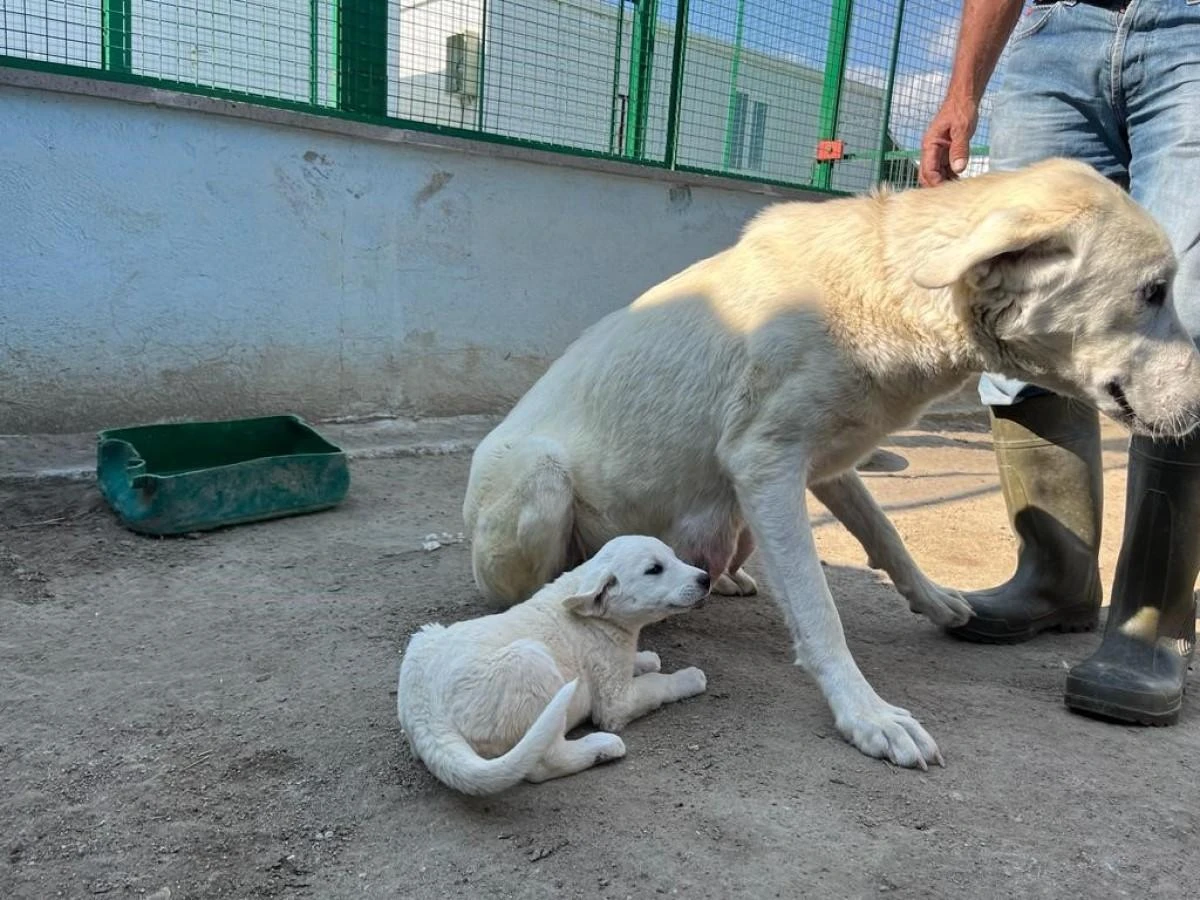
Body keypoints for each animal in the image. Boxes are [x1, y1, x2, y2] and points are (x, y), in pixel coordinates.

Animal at [398, 535, 705, 796]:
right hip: (531, 661)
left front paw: (646, 659)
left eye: (674, 556)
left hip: (424, 636)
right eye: (654, 569)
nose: (706, 578)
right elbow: (657, 685)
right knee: (545, 763)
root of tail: (426, 717)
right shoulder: (616, 702)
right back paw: (602, 748)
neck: (597, 615)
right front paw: (690, 678)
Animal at [458, 158, 1200, 772]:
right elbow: (820, 612)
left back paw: (727, 580)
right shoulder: (767, 465)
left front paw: (934, 600)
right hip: (541, 479)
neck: (888, 289)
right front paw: (867, 715)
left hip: (735, 521)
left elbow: (884, 531)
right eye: (1154, 291)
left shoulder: (824, 464)